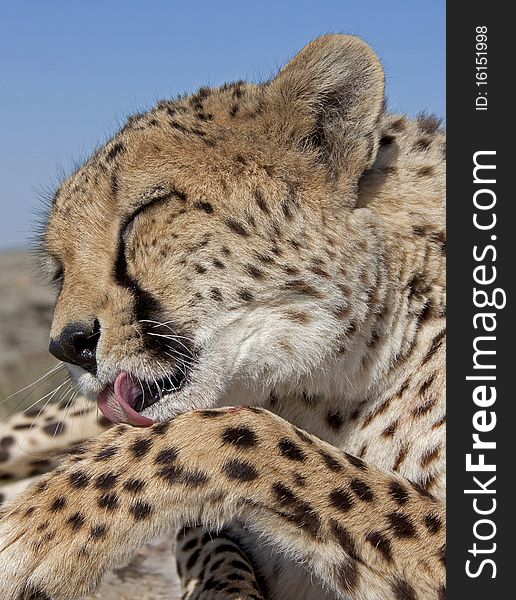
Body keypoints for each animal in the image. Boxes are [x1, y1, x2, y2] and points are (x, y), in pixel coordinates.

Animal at [0, 34, 444, 600]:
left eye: (145, 212)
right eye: (59, 268)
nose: (69, 345)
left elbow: (229, 430)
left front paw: (37, 528)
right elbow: (218, 537)